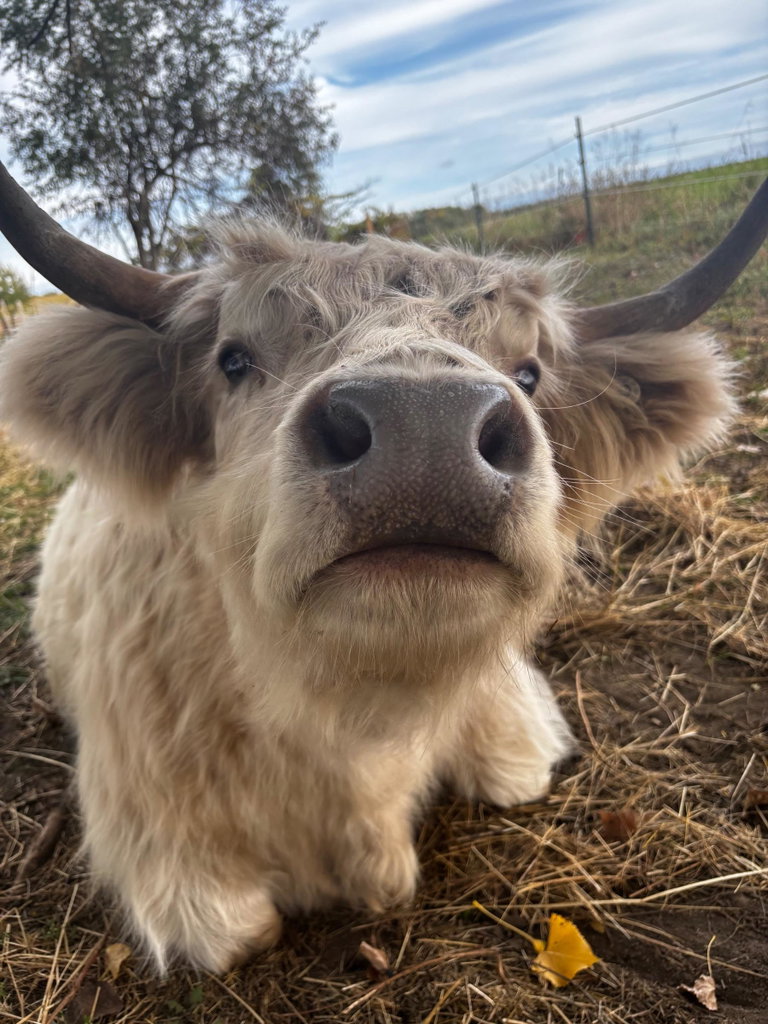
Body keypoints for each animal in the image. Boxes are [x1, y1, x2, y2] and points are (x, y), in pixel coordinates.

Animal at [1, 160, 766, 972]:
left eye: (530, 372)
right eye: (233, 359)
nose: (423, 433)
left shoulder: (518, 736)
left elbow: (513, 771)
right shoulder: (172, 860)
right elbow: (240, 929)